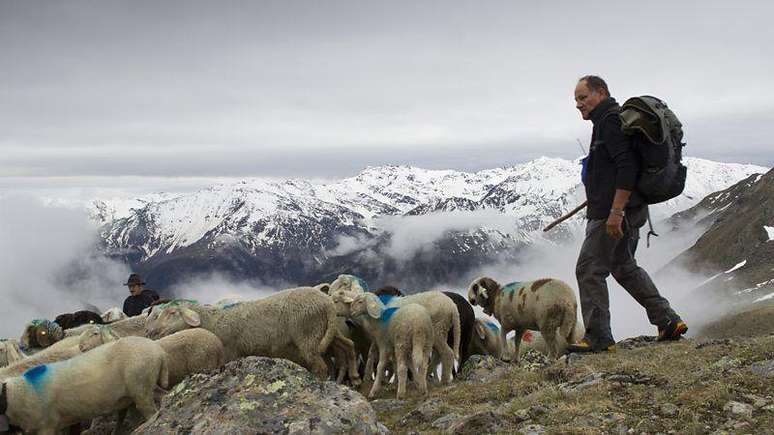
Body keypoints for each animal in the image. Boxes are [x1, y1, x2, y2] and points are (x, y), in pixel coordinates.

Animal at [145, 288, 348, 380]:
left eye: (172, 313)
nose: (151, 332)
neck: (212, 321)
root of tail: (327, 303)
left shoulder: (229, 353)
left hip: (308, 335)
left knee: (320, 367)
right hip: (323, 333)